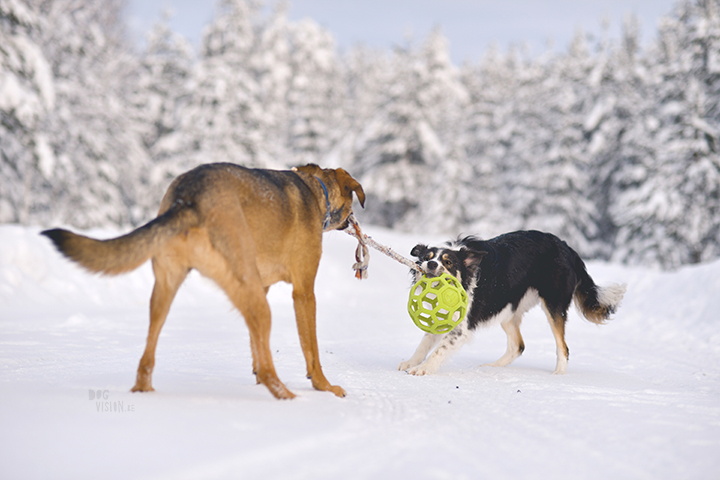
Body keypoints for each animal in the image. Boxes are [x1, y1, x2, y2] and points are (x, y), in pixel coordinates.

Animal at [41, 163, 366, 400]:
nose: (354, 223)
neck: (316, 188)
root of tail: (189, 196)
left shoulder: (261, 287)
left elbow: (255, 346)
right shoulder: (303, 292)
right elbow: (311, 348)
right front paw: (325, 386)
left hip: (167, 289)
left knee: (147, 355)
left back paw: (144, 391)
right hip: (249, 290)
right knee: (270, 368)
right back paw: (287, 396)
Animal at [400, 232, 624, 376]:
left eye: (448, 262)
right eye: (426, 257)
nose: (431, 264)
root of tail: (567, 248)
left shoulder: (462, 326)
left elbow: (440, 348)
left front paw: (423, 368)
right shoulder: (444, 317)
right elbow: (424, 343)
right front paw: (411, 362)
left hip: (553, 305)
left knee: (563, 347)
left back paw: (558, 375)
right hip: (507, 309)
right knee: (518, 345)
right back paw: (492, 367)